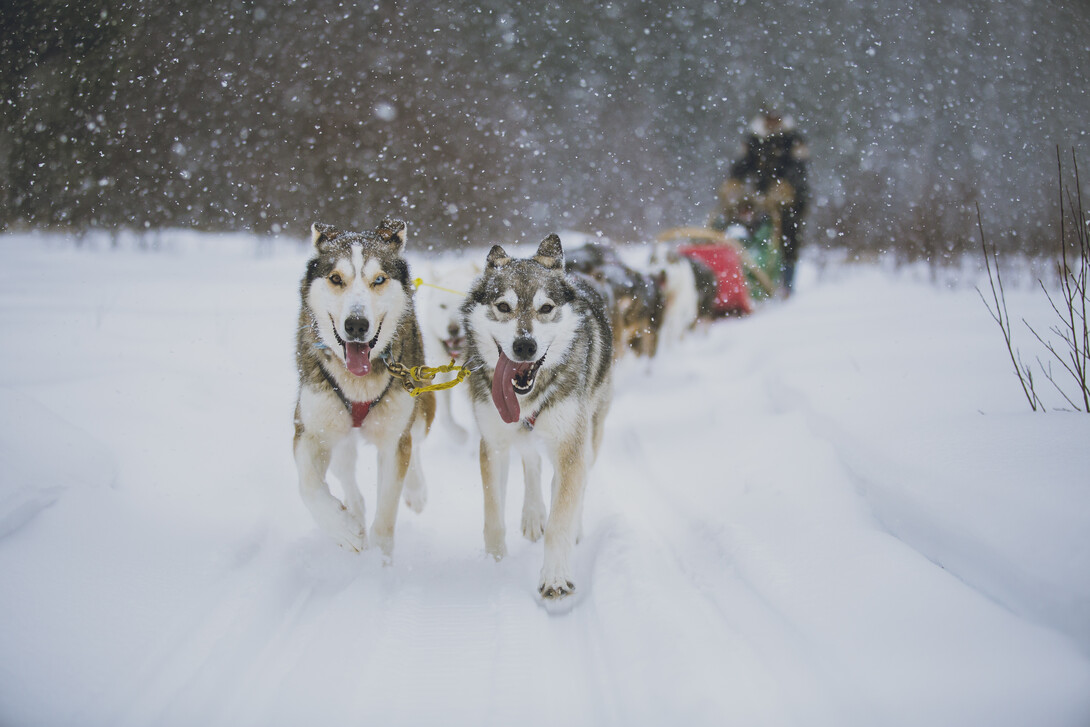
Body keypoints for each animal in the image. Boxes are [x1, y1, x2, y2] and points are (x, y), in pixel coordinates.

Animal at [298, 222, 438, 558]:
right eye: (336, 278)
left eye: (378, 279)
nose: (357, 325)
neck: (357, 383)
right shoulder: (310, 429)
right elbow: (308, 484)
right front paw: (343, 530)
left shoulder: (394, 439)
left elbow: (387, 509)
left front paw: (380, 559)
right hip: (338, 433)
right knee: (345, 469)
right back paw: (355, 512)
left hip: (421, 408)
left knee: (414, 442)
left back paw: (416, 490)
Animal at [459, 236, 614, 601]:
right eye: (503, 306)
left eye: (546, 308)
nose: (525, 346)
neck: (525, 397)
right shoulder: (494, 445)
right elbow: (493, 516)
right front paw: (495, 564)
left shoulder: (571, 446)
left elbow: (560, 520)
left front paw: (556, 578)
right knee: (532, 462)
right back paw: (532, 515)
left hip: (588, 436)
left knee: (572, 482)